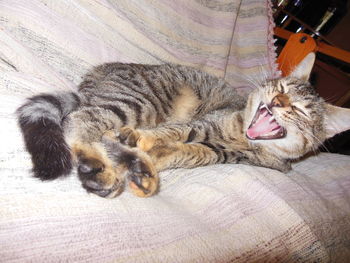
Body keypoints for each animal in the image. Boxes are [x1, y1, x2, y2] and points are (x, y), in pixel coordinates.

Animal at [15, 53, 350, 198]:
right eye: (281, 87)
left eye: (301, 110)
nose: (279, 101)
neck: (243, 137)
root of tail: (94, 78)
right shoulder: (203, 123)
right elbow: (178, 131)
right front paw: (143, 141)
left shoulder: (222, 154)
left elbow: (188, 153)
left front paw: (152, 154)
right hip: (139, 102)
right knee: (81, 120)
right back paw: (103, 166)